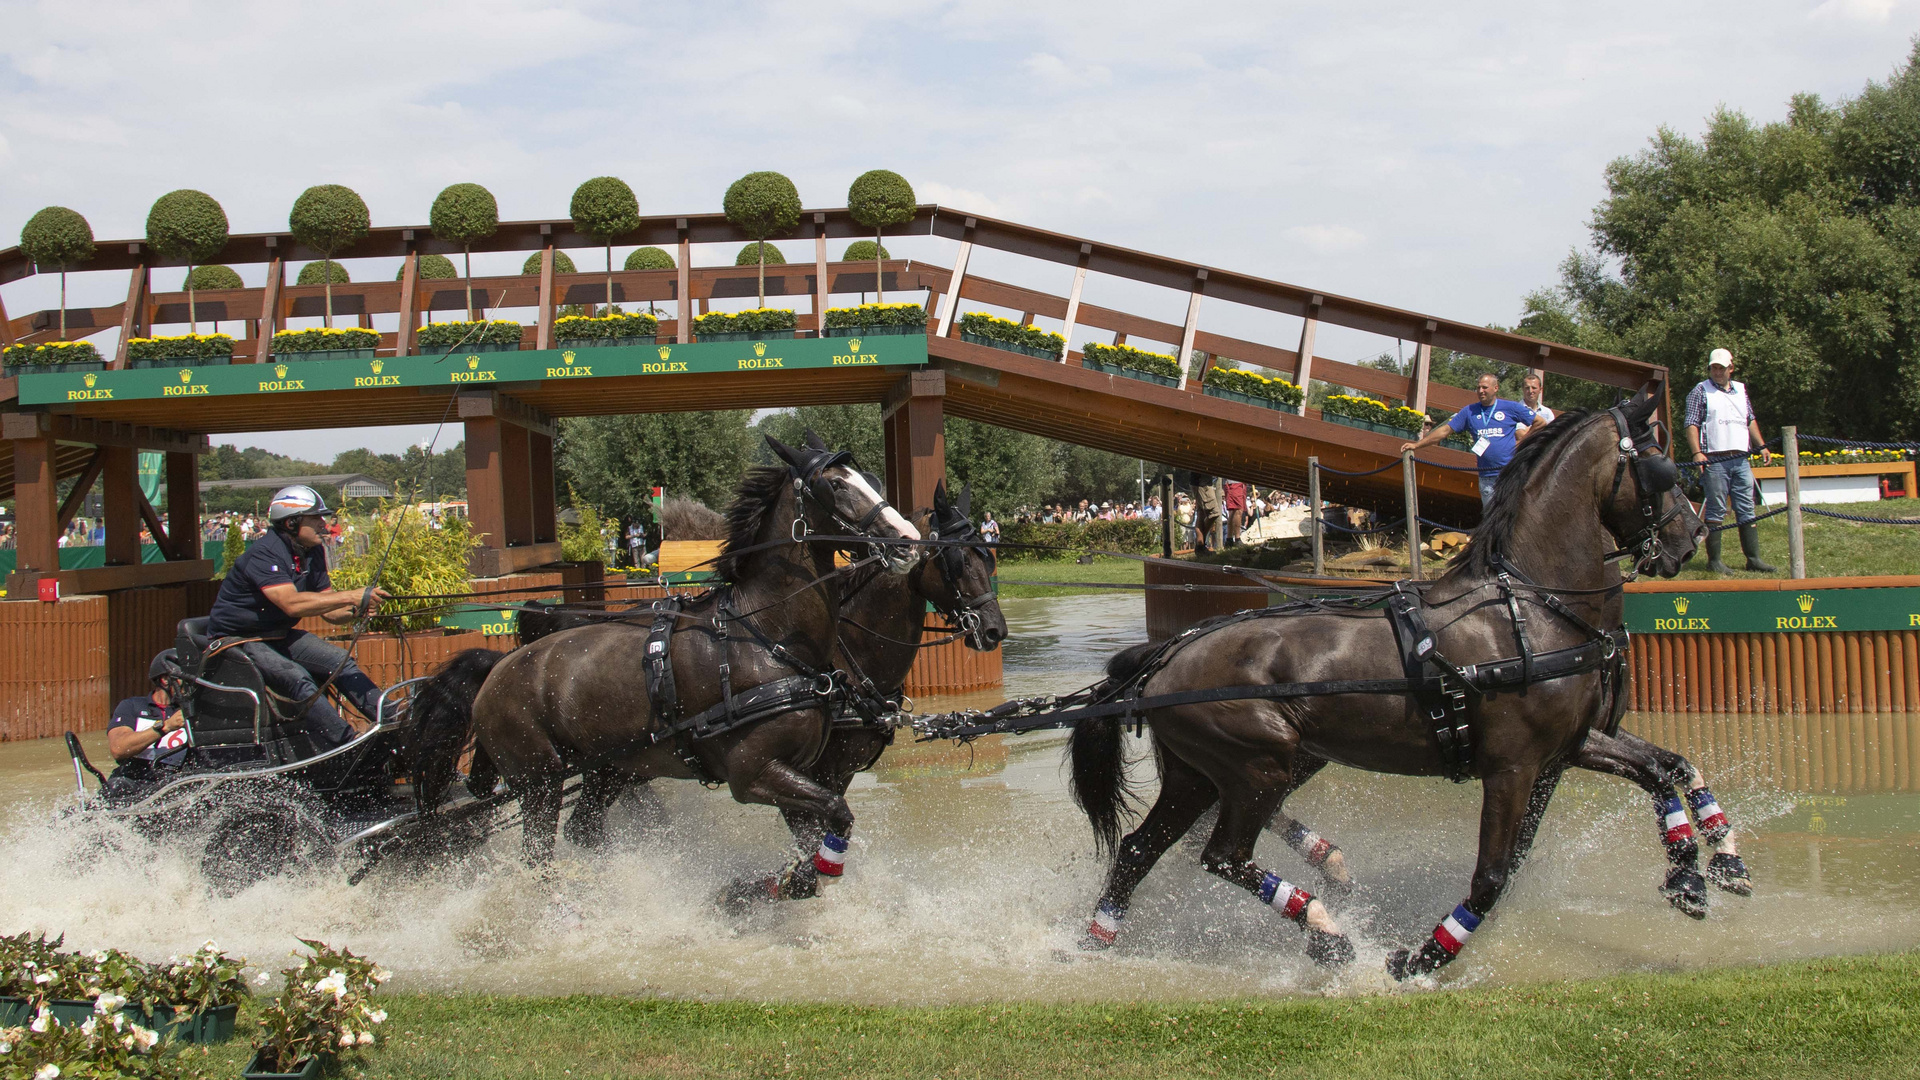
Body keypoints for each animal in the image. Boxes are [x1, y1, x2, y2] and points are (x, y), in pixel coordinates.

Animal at [405, 432, 921, 860]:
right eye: (835, 486)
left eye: (872, 480)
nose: (909, 541)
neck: (765, 637)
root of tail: (499, 668)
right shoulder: (754, 773)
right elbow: (834, 817)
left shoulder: (798, 769)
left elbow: (819, 832)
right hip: (539, 784)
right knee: (539, 858)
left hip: (609, 768)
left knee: (583, 830)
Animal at [1075, 388, 1704, 976]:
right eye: (1663, 468)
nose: (1691, 538)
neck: (1528, 609)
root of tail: (1165, 658)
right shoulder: (1514, 766)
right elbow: (1492, 876)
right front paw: (1422, 959)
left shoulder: (1567, 749)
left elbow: (1664, 769)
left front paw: (1696, 873)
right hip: (1259, 765)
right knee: (1222, 855)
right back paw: (1326, 929)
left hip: (1204, 774)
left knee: (1141, 849)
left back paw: (1095, 938)